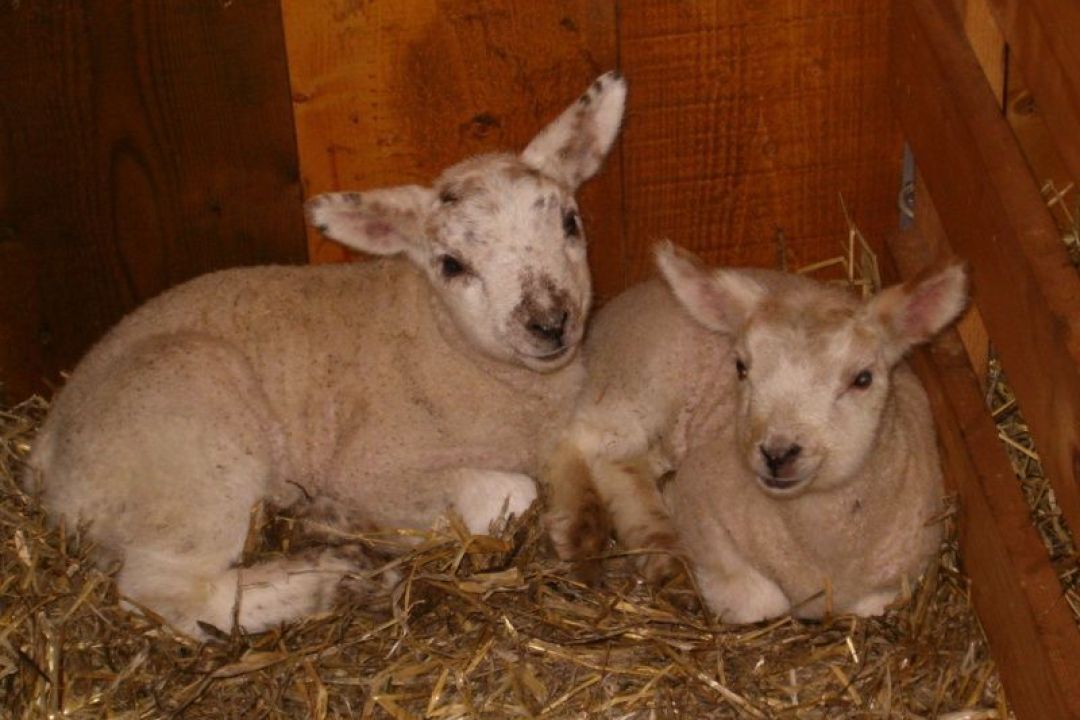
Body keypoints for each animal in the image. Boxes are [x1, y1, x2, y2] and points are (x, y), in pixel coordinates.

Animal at [25, 71, 630, 634]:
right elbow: (514, 493)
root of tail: (47, 447)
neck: (452, 347)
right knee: (165, 594)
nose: (549, 323)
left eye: (570, 222)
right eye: (452, 265)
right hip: (188, 451)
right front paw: (349, 519)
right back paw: (331, 578)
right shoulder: (373, 466)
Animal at [544, 245, 967, 621]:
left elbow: (870, 607)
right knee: (580, 441)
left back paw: (659, 550)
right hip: (633, 382)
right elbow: (760, 602)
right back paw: (583, 534)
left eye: (863, 379)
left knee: (620, 463)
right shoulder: (701, 497)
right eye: (741, 367)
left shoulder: (906, 572)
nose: (778, 453)